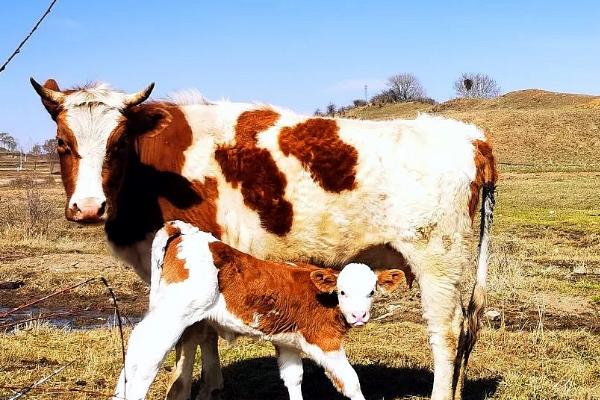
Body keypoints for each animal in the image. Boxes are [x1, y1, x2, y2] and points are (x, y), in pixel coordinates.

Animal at [112, 222, 404, 400]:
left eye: (372, 291)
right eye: (342, 292)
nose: (358, 316)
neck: (324, 298)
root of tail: (185, 231)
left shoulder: (287, 342)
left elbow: (293, 377)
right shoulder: (324, 341)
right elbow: (350, 380)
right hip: (175, 314)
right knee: (148, 352)